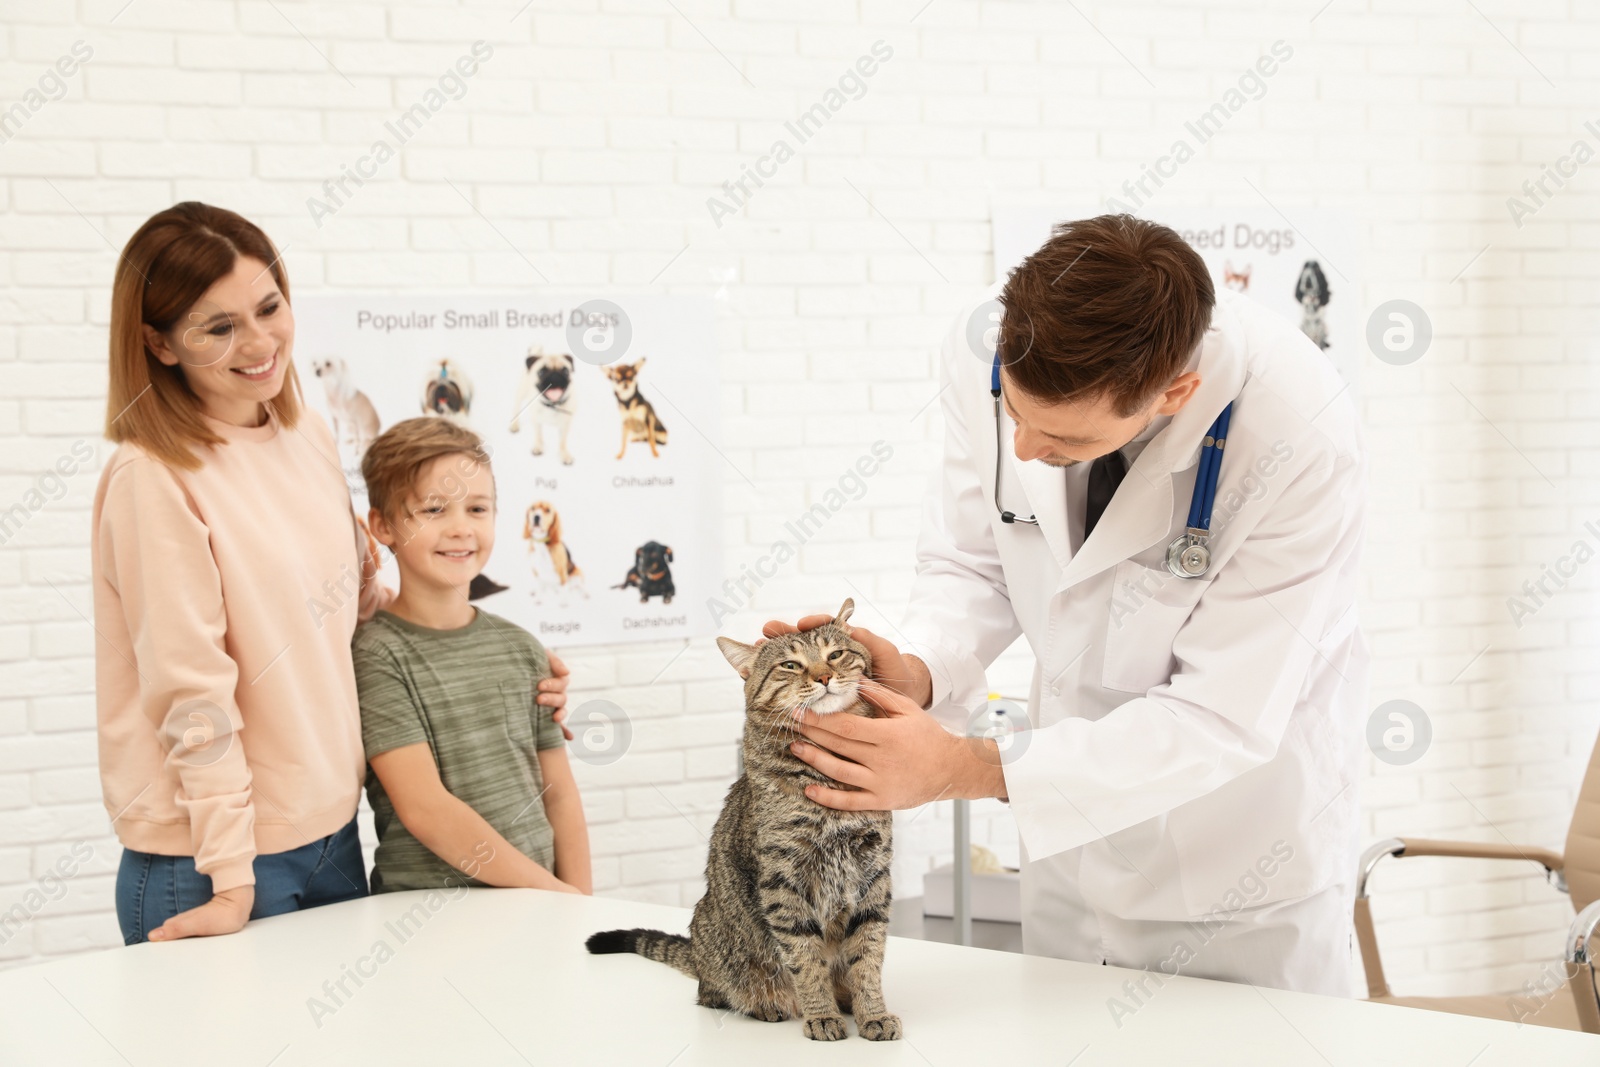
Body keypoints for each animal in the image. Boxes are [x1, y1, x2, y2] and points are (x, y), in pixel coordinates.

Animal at [585, 601, 902, 1043]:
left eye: (835, 654)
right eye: (790, 665)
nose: (824, 677)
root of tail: (698, 958)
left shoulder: (873, 875)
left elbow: (868, 955)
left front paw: (872, 1012)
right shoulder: (783, 879)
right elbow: (806, 958)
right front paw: (820, 1013)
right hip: (719, 944)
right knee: (713, 993)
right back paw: (767, 1005)